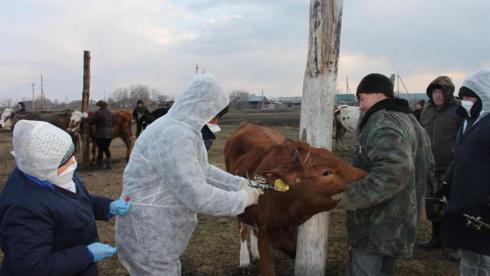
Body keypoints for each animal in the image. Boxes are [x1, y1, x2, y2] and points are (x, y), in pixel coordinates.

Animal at [224, 123, 366, 276]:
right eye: (326, 172)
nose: (366, 175)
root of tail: (248, 124)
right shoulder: (265, 241)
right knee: (243, 228)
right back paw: (244, 260)